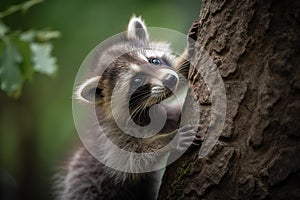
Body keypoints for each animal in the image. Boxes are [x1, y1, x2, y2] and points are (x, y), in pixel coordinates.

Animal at [56, 16, 202, 200]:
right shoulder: (112, 137)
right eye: (137, 80)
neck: (146, 109)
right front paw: (170, 140)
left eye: (154, 61)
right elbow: (132, 160)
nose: (169, 79)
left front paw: (187, 56)